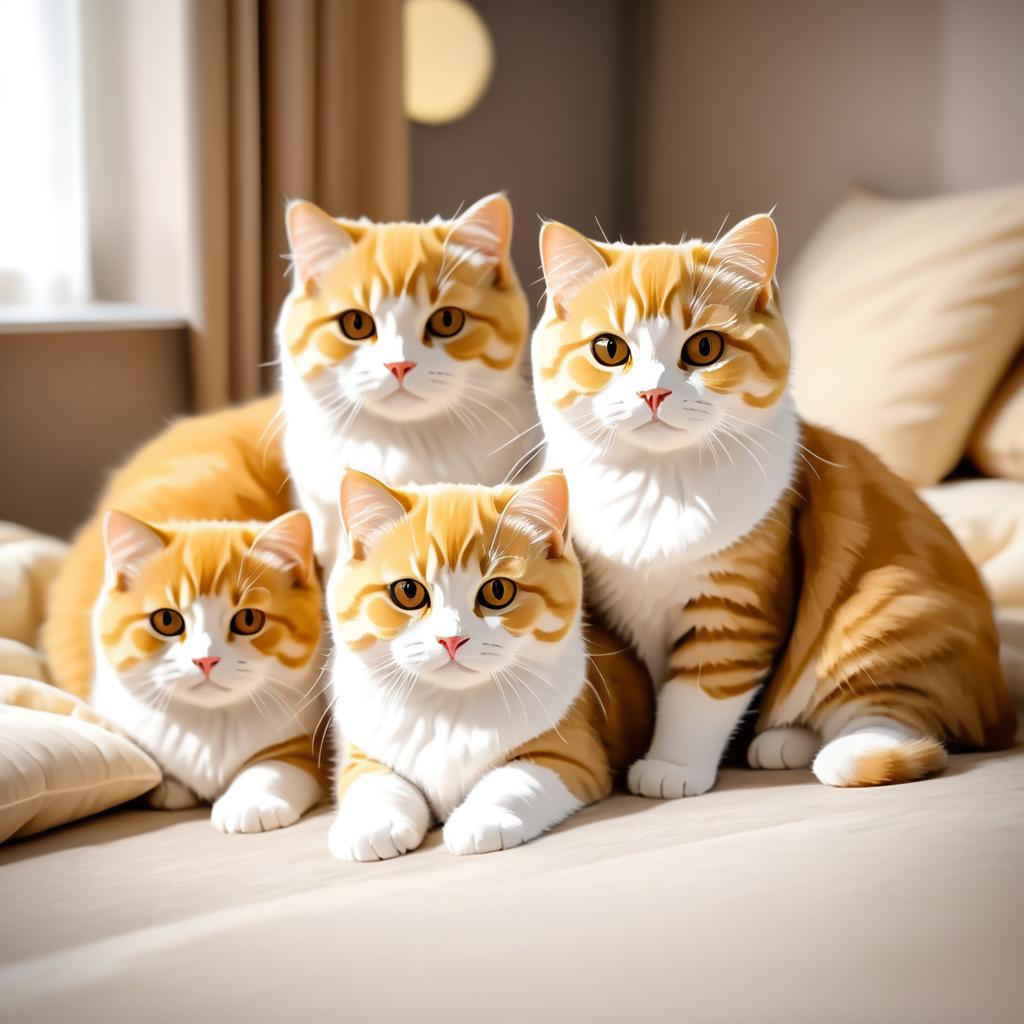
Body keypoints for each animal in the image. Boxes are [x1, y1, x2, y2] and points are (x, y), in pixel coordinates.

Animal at [92, 512, 325, 831]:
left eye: (249, 619)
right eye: (166, 620)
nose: (205, 660)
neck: (212, 720)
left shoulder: (307, 738)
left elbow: (276, 766)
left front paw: (250, 803)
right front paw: (165, 786)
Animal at [323, 468, 651, 856]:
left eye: (498, 592)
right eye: (408, 591)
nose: (451, 638)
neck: (450, 711)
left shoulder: (571, 753)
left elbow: (513, 779)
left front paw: (480, 820)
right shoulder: (361, 752)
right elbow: (375, 783)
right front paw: (374, 824)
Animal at [528, 214, 1015, 790]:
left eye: (704, 348)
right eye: (609, 349)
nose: (653, 394)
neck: (659, 484)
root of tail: (1001, 704)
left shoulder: (734, 610)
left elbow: (696, 697)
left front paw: (673, 767)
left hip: (886, 610)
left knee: (897, 715)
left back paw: (840, 751)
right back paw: (782, 742)